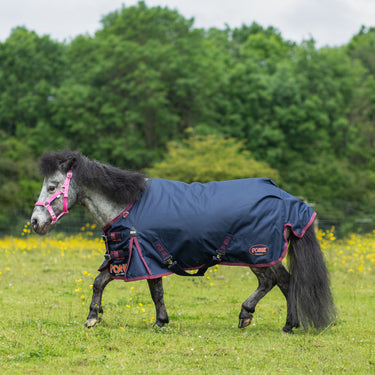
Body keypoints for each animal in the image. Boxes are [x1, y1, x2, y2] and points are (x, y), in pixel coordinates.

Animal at [32, 151, 336, 334]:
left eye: (52, 187)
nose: (35, 222)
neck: (127, 204)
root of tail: (290, 201)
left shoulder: (143, 257)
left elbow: (154, 292)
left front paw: (158, 322)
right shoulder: (129, 258)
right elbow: (100, 282)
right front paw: (95, 316)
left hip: (259, 254)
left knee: (281, 281)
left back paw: (276, 321)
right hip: (258, 256)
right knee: (275, 282)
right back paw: (262, 318)